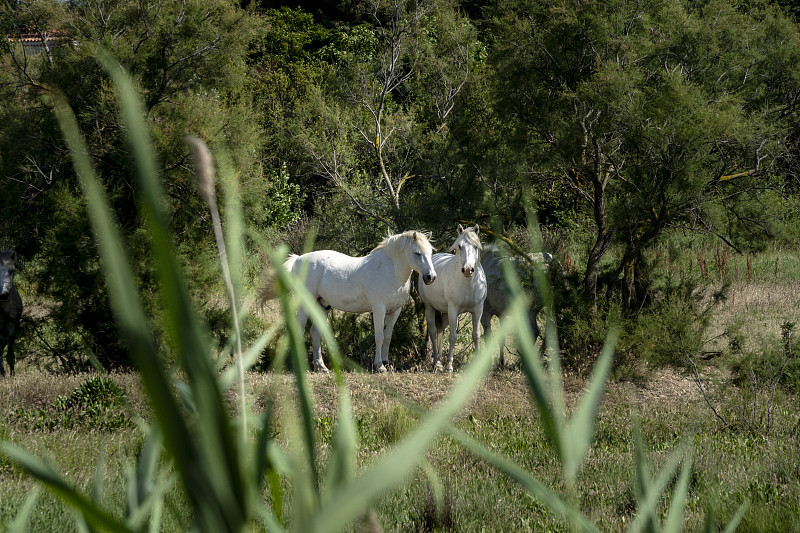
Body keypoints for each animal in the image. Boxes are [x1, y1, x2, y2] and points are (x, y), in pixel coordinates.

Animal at [260, 229, 438, 370]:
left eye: (430, 253)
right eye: (417, 253)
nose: (431, 277)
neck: (389, 270)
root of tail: (298, 259)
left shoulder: (395, 311)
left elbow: (387, 337)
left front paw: (387, 363)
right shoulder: (378, 309)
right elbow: (379, 336)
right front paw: (379, 366)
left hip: (322, 306)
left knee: (315, 333)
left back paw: (321, 367)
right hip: (306, 304)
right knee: (299, 331)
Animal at [418, 223, 488, 370]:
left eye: (475, 246)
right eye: (460, 246)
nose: (467, 270)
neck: (468, 283)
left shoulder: (478, 309)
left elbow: (476, 335)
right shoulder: (453, 309)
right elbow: (453, 337)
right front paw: (449, 366)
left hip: (445, 313)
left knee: (441, 331)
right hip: (430, 307)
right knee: (433, 332)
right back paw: (437, 362)